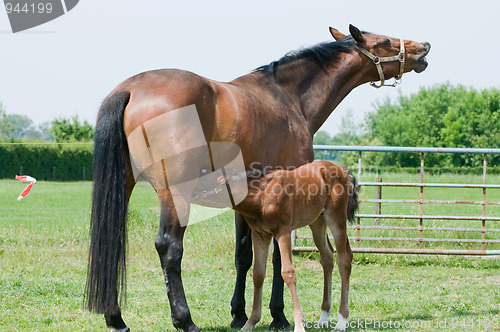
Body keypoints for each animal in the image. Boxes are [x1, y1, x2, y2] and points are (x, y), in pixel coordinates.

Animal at [235, 160, 360, 330]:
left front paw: (299, 324)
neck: (263, 193)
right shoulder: (260, 235)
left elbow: (287, 272)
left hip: (336, 218)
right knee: (327, 257)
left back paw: (341, 321)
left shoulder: (283, 232)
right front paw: (250, 323)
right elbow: (258, 274)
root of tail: (340, 169)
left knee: (345, 258)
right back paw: (323, 317)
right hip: (317, 222)